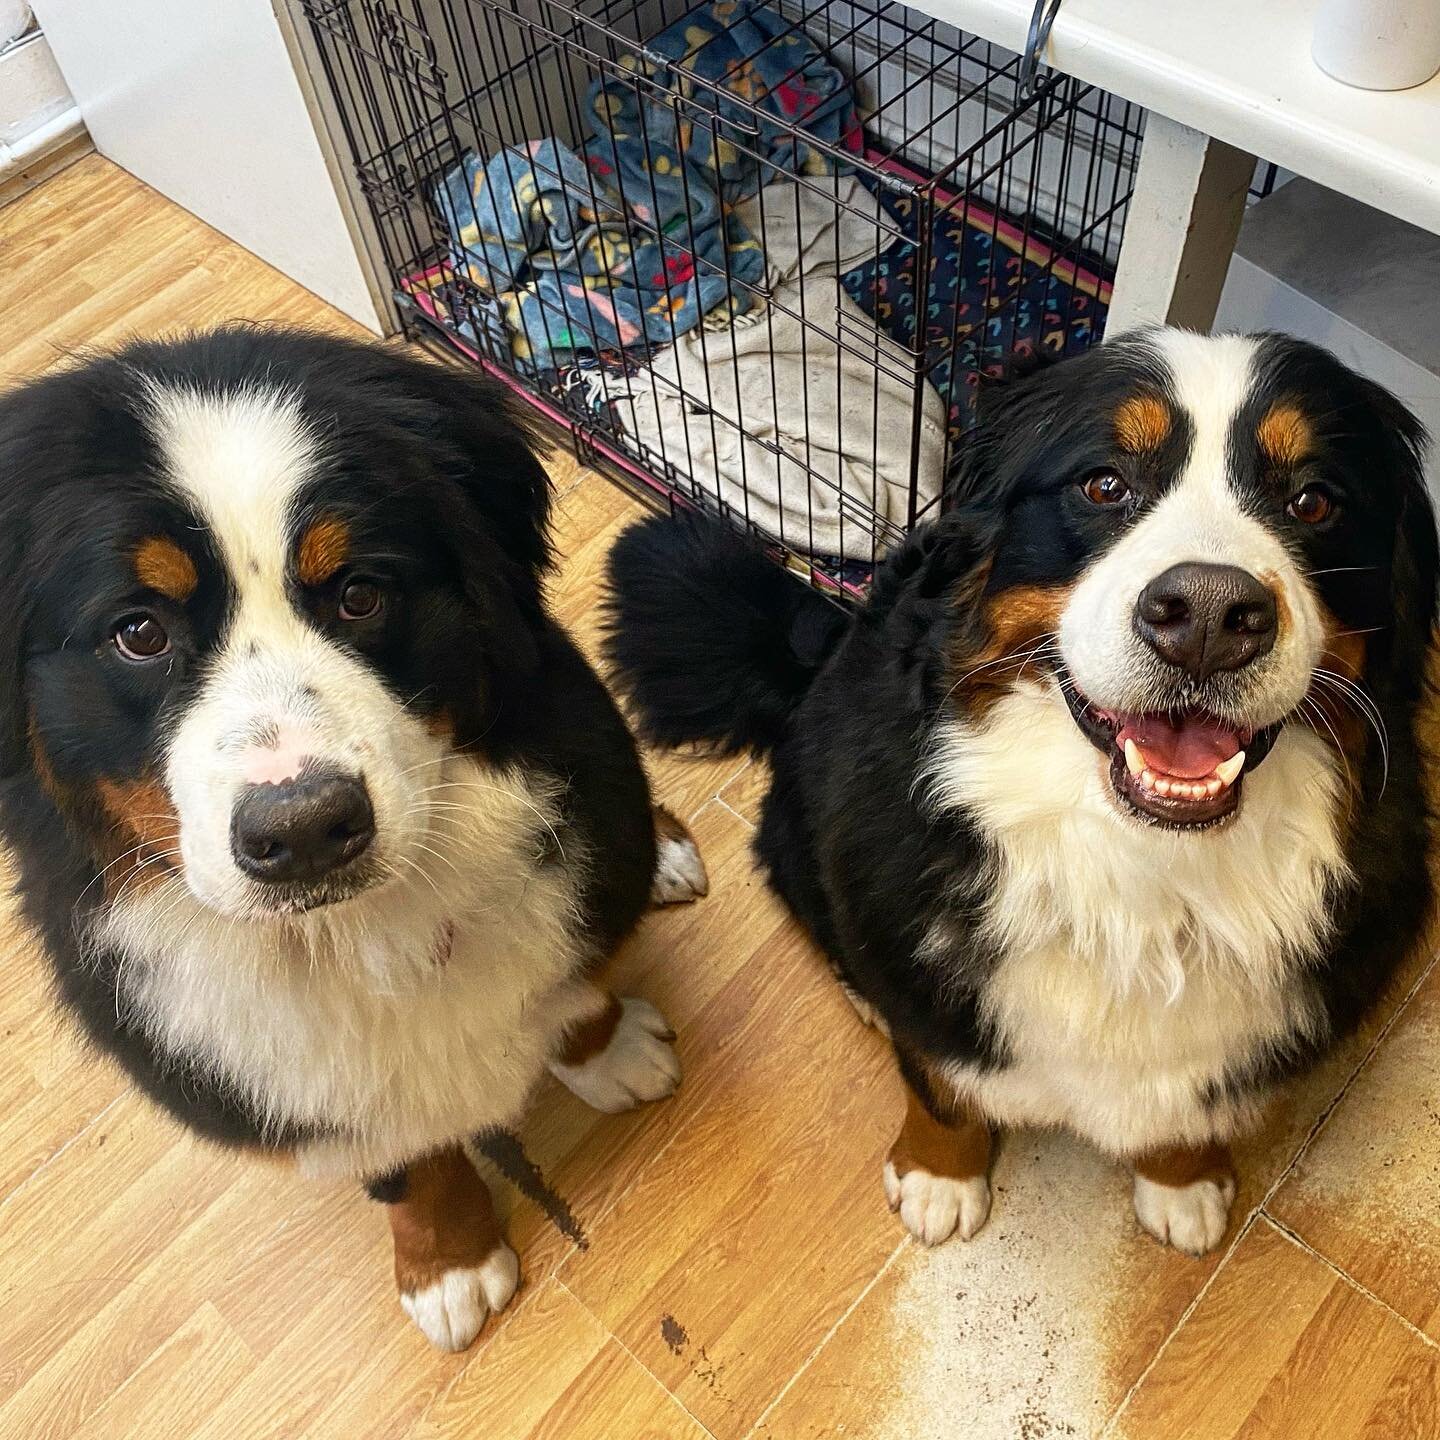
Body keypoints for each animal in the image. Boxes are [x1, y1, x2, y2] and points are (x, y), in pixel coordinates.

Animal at [0, 326, 708, 1347]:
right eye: (137, 632)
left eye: (361, 593)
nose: (302, 828)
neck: (360, 937)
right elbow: (404, 1162)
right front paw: (448, 1260)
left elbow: (576, 985)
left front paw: (613, 1053)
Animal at [607, 331, 1440, 1255]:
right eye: (1104, 484)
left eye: (1315, 502)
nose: (1209, 615)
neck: (1141, 875)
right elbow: (938, 1081)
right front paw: (941, 1177)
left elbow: (1194, 1107)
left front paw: (1182, 1181)